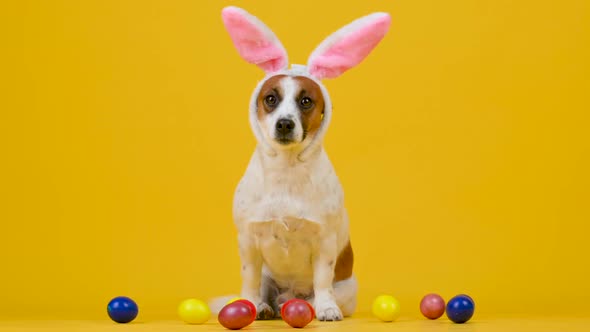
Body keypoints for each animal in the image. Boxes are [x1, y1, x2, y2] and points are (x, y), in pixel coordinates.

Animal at [213, 5, 394, 322]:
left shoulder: (325, 244)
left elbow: (322, 280)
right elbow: (249, 281)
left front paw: (326, 308)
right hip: (268, 276)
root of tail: (287, 296)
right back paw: (264, 307)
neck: (287, 171)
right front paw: (249, 305)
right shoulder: (248, 242)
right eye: (270, 99)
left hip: (347, 286)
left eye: (306, 101)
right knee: (265, 292)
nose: (285, 123)